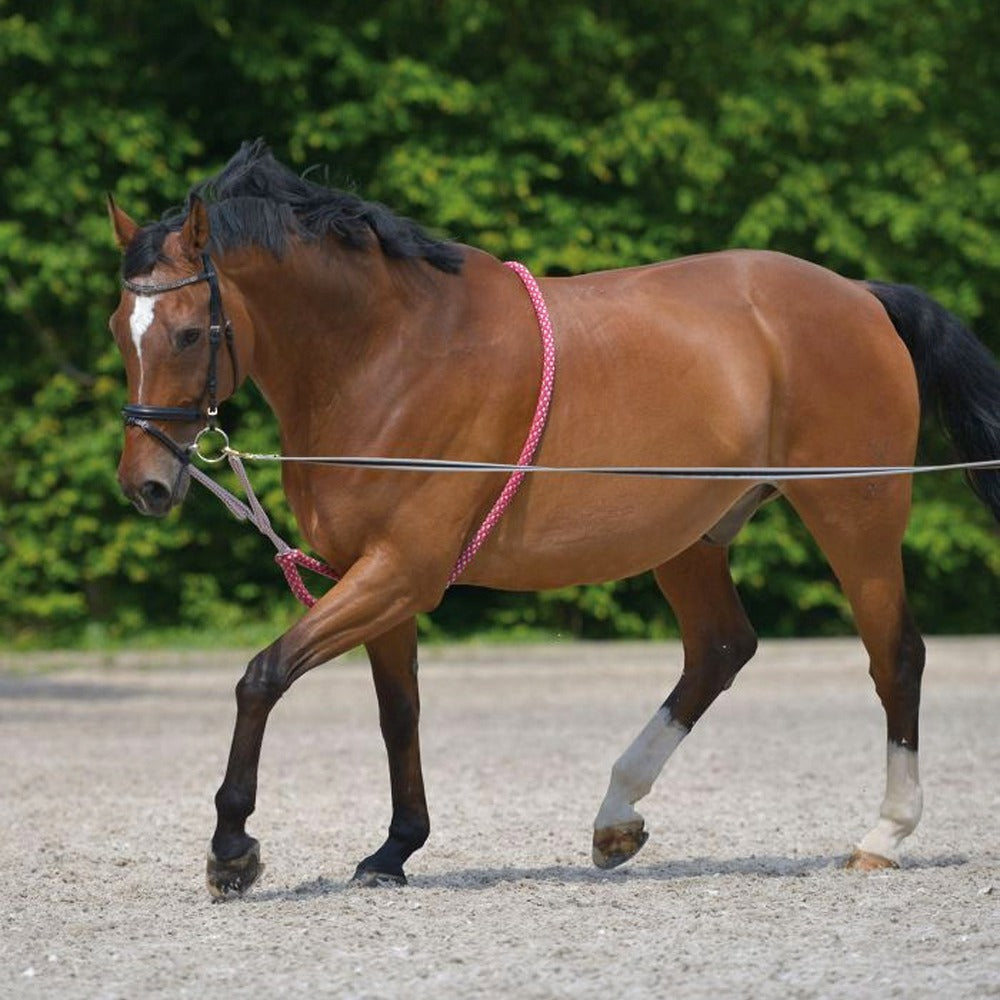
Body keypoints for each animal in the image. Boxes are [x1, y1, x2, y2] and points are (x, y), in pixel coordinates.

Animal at [106, 140, 1000, 899]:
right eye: (121, 329)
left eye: (189, 332)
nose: (145, 484)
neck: (388, 354)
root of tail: (861, 297)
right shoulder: (377, 577)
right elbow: (400, 713)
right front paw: (394, 850)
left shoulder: (401, 572)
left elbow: (262, 676)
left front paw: (232, 851)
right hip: (688, 538)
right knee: (719, 650)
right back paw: (615, 819)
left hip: (856, 516)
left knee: (896, 657)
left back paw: (883, 835)